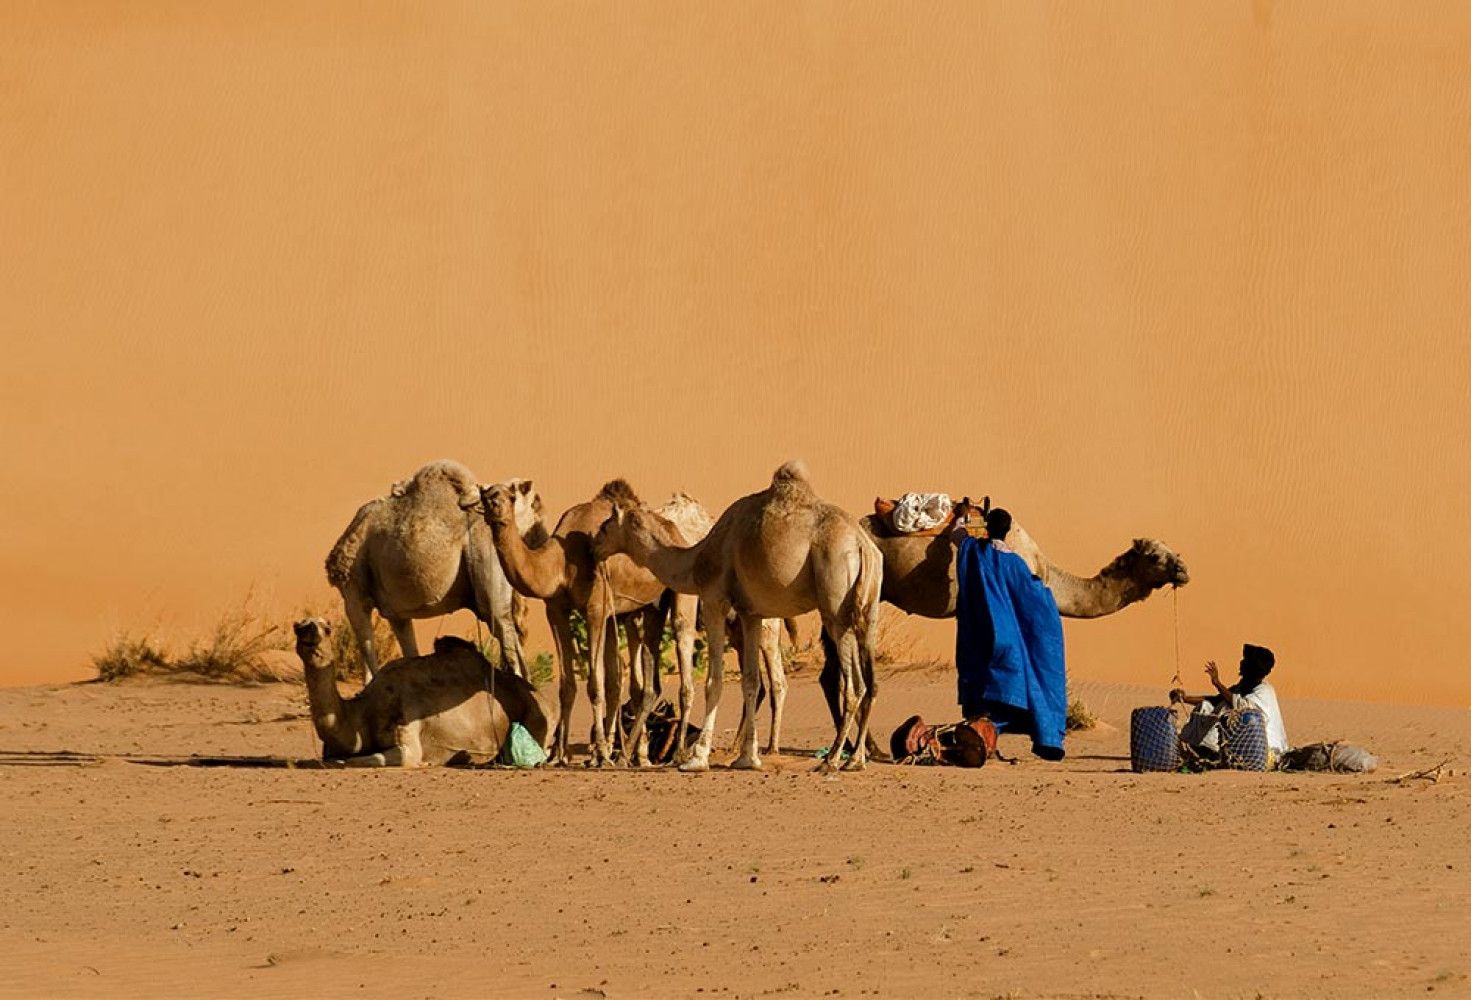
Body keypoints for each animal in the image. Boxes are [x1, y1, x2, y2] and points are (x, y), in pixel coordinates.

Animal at [292, 617, 556, 764]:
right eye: (299, 626)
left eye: (327, 628)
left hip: (539, 713)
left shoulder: (408, 735)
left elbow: (354, 761)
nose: (309, 631)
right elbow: (336, 757)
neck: (363, 714)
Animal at [322, 461, 547, 679]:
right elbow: (409, 653)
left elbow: (367, 651)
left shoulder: (353, 593)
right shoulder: (395, 610)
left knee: (503, 629)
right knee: (514, 639)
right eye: (536, 504)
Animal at [473, 476, 697, 764]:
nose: (496, 508)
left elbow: (594, 685)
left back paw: (672, 752)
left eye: (511, 497)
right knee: (635, 684)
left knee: (677, 661)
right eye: (487, 496)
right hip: (637, 611)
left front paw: (600, 750)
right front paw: (558, 755)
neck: (560, 561)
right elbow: (568, 686)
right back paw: (628, 754)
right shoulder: (556, 610)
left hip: (672, 599)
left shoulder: (595, 609)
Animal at [597, 461, 882, 770]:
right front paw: (747, 758)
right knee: (866, 682)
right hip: (868, 609)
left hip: (835, 601)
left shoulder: (713, 599)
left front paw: (696, 758)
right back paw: (855, 760)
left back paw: (831, 760)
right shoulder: (751, 613)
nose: (593, 544)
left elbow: (713, 681)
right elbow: (751, 681)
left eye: (606, 524)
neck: (694, 558)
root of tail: (861, 544)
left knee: (852, 685)